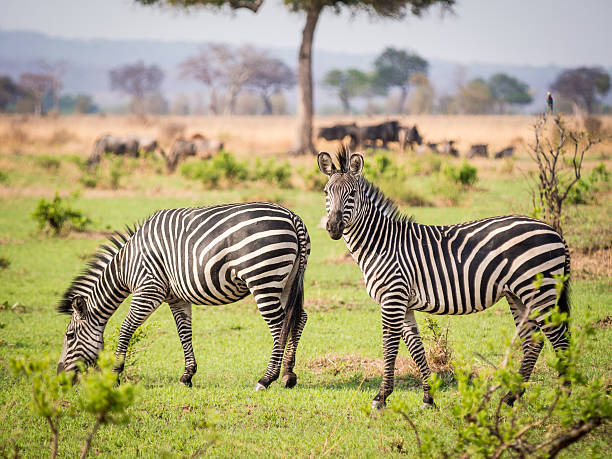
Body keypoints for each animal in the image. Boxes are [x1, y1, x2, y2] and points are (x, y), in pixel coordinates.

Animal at [57, 202, 310, 392]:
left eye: (70, 336)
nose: (59, 378)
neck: (125, 266)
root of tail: (292, 216)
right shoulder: (176, 297)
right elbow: (183, 333)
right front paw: (187, 375)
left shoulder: (149, 289)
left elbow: (126, 328)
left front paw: (114, 375)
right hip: (287, 281)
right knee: (298, 318)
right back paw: (288, 375)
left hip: (263, 278)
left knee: (279, 325)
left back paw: (266, 378)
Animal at [318, 147, 572, 410]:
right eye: (326, 192)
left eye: (352, 193)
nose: (333, 227)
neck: (380, 243)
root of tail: (554, 231)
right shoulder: (404, 303)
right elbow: (416, 348)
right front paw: (428, 398)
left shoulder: (392, 298)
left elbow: (389, 347)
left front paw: (381, 397)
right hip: (519, 295)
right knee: (534, 341)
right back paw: (512, 397)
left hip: (541, 292)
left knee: (559, 339)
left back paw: (563, 397)